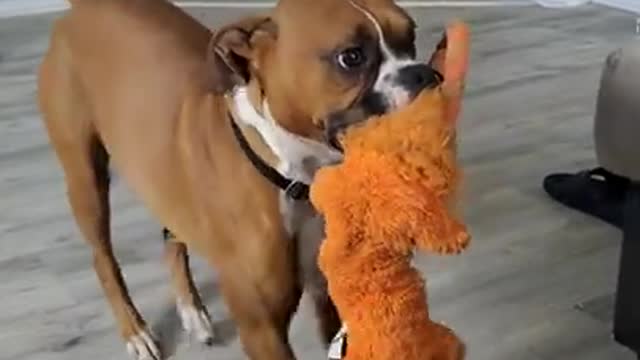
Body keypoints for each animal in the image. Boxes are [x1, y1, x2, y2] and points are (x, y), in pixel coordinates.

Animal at [37, 0, 442, 360]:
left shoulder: (329, 299)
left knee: (171, 233)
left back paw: (192, 312)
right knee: (102, 258)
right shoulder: (263, 330)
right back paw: (136, 331)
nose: (425, 74)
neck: (295, 177)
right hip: (86, 179)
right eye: (351, 57)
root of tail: (85, 8)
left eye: (410, 38)